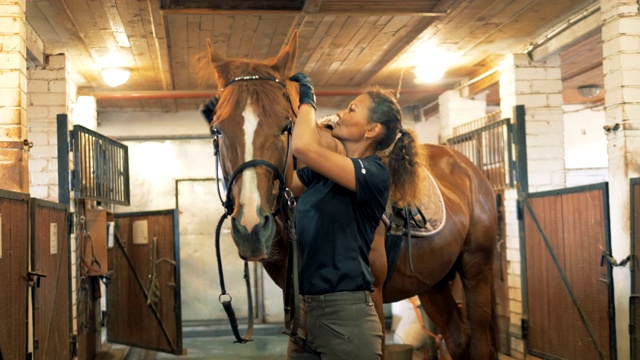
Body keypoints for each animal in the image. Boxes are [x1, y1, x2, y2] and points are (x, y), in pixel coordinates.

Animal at [205, 31, 500, 360]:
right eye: (218, 129)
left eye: (285, 126)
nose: (251, 227)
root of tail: (468, 168)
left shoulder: (375, 295)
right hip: (432, 282)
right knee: (458, 338)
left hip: (477, 268)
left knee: (480, 343)